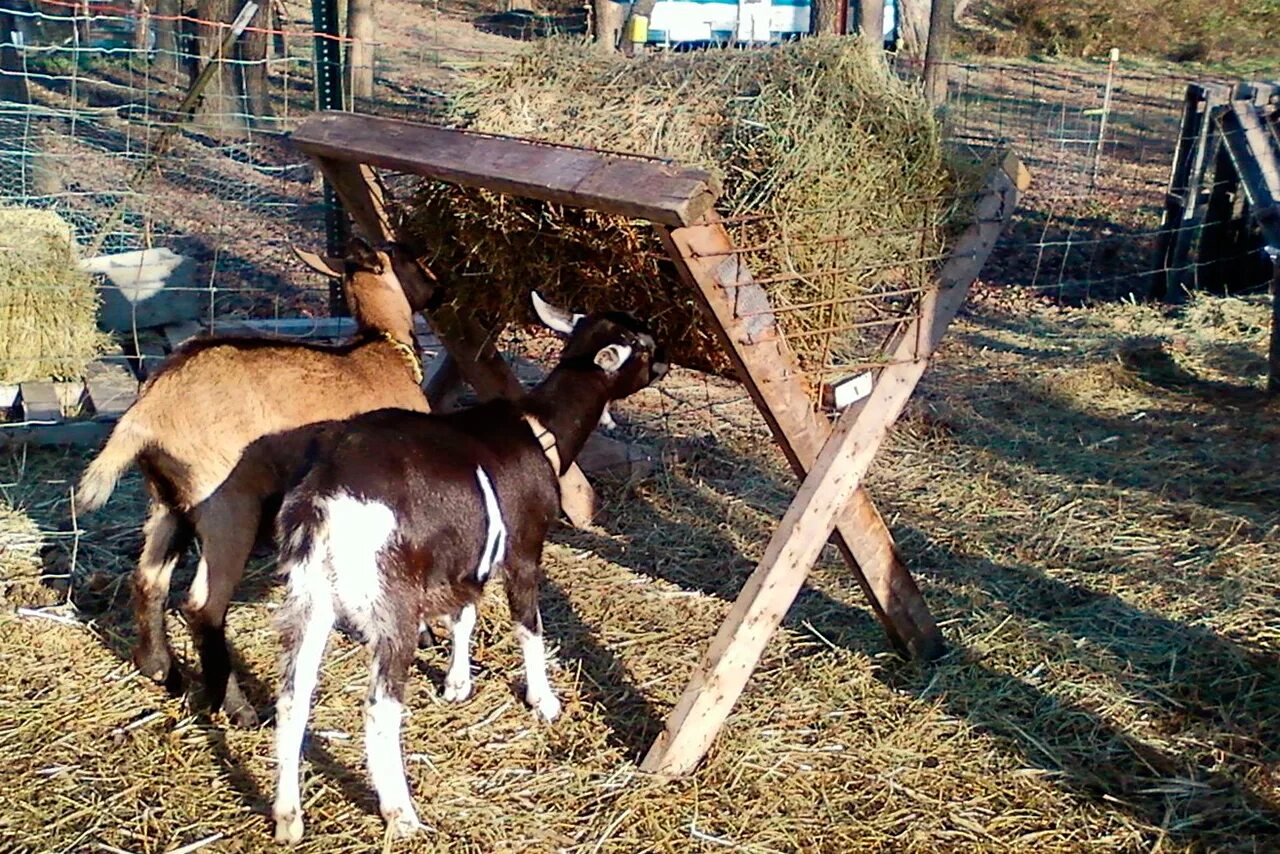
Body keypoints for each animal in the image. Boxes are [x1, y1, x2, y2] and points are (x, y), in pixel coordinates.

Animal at [270, 297, 670, 845]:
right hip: (391, 602)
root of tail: (325, 497)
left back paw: (288, 817)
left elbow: (464, 614)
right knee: (379, 707)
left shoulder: (464, 554)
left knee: (293, 695)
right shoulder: (522, 546)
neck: (540, 429)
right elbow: (529, 624)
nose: (665, 363)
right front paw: (544, 701)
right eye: (643, 346)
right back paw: (401, 813)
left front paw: (458, 683)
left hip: (311, 596)